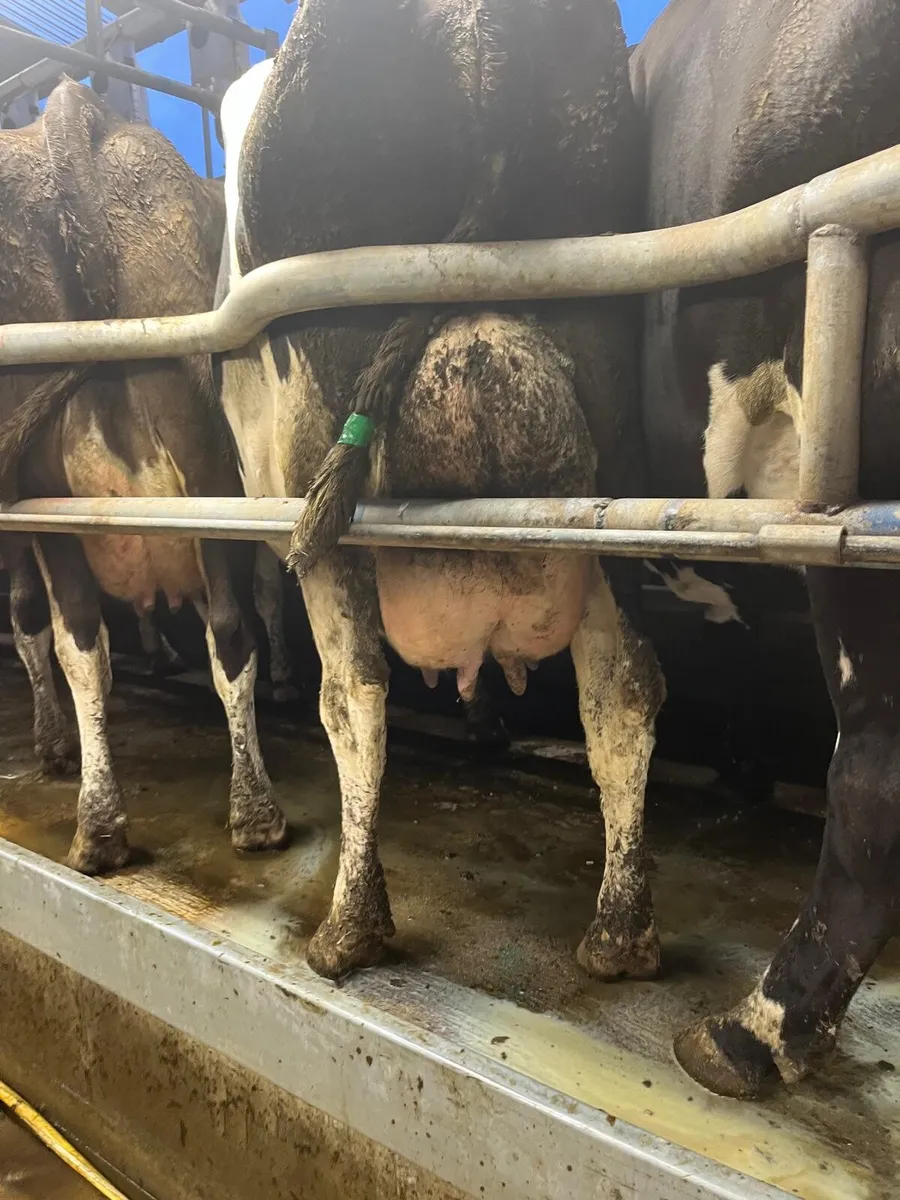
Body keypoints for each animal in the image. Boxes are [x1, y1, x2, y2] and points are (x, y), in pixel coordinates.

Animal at [216, 1, 663, 983]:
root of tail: (477, 28)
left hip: (323, 491)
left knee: (355, 694)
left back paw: (349, 926)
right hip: (603, 479)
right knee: (625, 687)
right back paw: (621, 933)